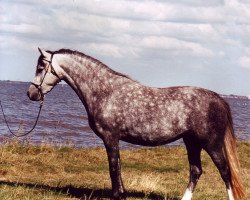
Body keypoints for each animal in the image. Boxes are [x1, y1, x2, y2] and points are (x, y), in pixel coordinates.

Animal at [26, 48, 244, 200]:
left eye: (40, 67)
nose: (31, 93)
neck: (105, 91)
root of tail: (219, 98)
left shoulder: (110, 138)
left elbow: (114, 168)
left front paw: (117, 195)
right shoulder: (114, 140)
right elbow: (118, 167)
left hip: (211, 144)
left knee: (225, 172)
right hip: (192, 142)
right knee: (196, 171)